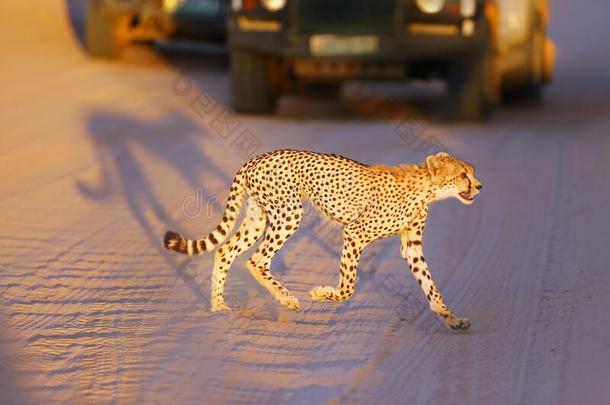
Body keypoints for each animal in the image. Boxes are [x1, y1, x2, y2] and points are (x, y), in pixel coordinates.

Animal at [163, 150, 480, 330]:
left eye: (471, 173)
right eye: (463, 174)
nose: (479, 186)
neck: (427, 189)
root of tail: (257, 158)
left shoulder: (410, 247)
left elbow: (430, 286)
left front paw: (451, 318)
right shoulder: (354, 232)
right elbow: (349, 287)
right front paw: (321, 294)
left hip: (258, 216)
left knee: (226, 251)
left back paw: (219, 307)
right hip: (288, 213)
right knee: (256, 259)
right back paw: (287, 299)